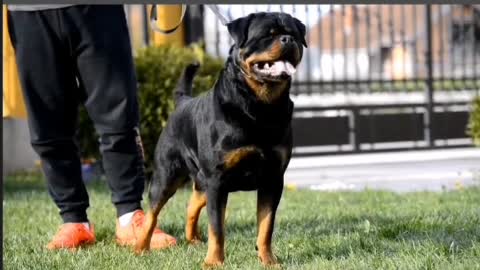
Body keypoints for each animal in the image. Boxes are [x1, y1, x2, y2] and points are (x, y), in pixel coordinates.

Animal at [135, 12, 308, 266]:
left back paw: (193, 240)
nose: (288, 40)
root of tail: (183, 101)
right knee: (152, 213)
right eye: (267, 35)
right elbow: (217, 228)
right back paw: (140, 248)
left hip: (202, 181)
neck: (261, 106)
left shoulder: (273, 179)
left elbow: (266, 226)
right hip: (168, 175)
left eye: (295, 34)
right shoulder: (217, 181)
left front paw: (268, 261)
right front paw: (214, 262)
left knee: (192, 204)